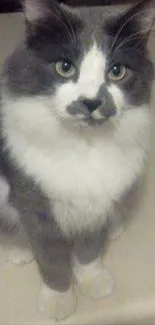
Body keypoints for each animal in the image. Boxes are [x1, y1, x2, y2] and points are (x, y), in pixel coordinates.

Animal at [0, 0, 154, 320]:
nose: (91, 102)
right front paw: (58, 299)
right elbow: (50, 257)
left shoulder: (100, 198)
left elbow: (89, 248)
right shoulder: (35, 205)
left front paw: (91, 279)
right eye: (65, 67)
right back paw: (17, 250)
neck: (85, 144)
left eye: (117, 71)